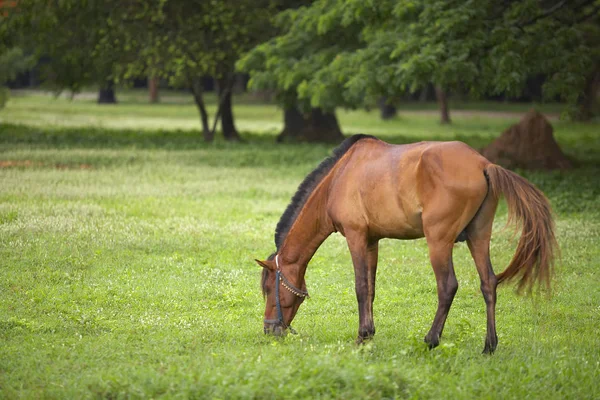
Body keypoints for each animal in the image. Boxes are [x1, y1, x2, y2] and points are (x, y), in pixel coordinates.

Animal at [254, 134, 556, 354]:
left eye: (269, 289)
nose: (270, 329)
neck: (339, 177)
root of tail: (483, 164)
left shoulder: (355, 236)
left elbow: (360, 287)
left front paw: (360, 338)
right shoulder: (372, 241)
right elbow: (371, 289)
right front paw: (369, 335)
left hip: (439, 241)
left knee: (447, 286)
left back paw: (431, 340)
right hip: (478, 236)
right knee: (489, 283)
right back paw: (489, 346)